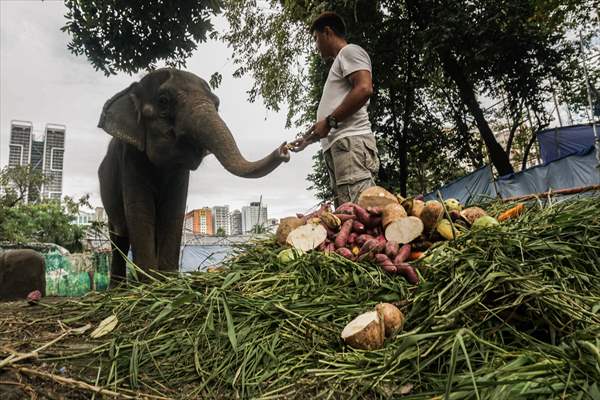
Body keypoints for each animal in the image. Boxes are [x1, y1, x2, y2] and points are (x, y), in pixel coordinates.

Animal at [98, 69, 290, 288]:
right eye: (163, 101)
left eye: (217, 104)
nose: (284, 150)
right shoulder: (130, 157)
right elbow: (140, 211)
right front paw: (151, 287)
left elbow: (174, 212)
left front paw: (168, 282)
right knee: (119, 236)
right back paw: (118, 290)